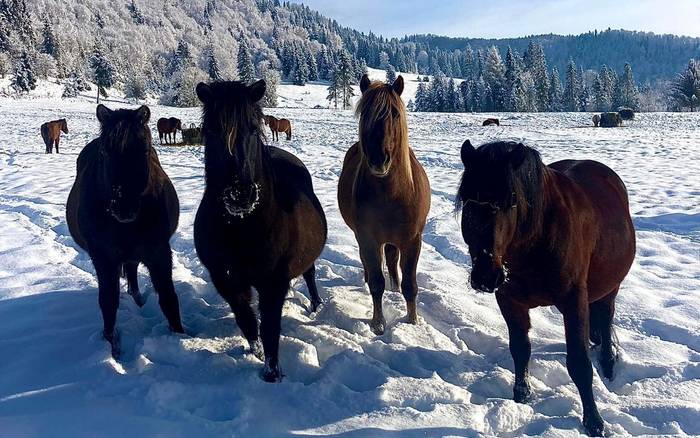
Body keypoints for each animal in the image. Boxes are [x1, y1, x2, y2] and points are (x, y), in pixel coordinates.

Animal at [65, 103, 183, 356]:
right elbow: (108, 301)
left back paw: (137, 298)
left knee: (131, 269)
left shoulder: (159, 252)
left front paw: (181, 337)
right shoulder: (103, 257)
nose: (124, 208)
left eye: (145, 150)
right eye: (104, 152)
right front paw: (112, 347)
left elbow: (169, 297)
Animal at [193, 80, 326, 382]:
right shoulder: (224, 278)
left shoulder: (273, 282)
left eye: (254, 128)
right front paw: (256, 351)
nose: (240, 194)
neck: (241, 226)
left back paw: (316, 304)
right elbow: (245, 317)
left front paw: (272, 372)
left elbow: (270, 327)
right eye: (210, 131)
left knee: (310, 274)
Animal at [336, 75, 430, 336]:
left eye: (395, 114)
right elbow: (377, 284)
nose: (379, 160)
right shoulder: (367, 238)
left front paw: (412, 320)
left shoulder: (412, 240)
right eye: (364, 113)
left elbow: (410, 284)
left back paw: (395, 287)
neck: (392, 193)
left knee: (391, 258)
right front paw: (378, 323)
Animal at [456, 140, 636, 434]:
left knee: (606, 318)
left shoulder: (573, 301)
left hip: (610, 288)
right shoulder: (509, 301)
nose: (485, 276)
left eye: (512, 201)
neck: (535, 242)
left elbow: (579, 364)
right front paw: (522, 395)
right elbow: (520, 349)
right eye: (468, 200)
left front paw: (594, 422)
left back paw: (608, 365)